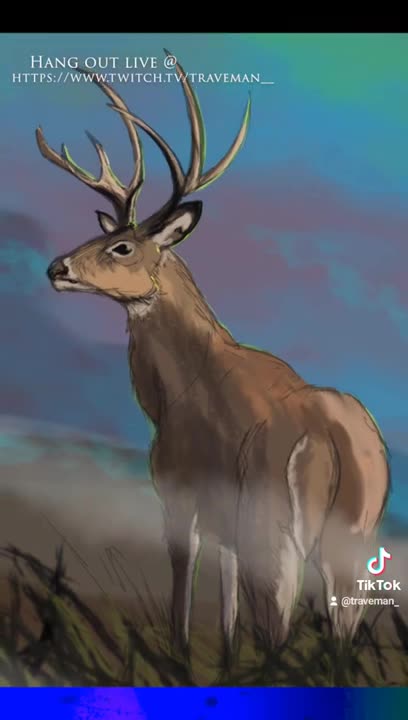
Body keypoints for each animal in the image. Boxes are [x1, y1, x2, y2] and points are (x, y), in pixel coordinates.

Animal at [38, 53, 390, 670]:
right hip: (353, 535)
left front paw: (179, 658)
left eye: (122, 246)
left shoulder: (180, 493)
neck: (169, 394)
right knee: (340, 626)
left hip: (273, 524)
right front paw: (222, 662)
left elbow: (185, 580)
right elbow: (225, 609)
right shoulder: (226, 525)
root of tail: (328, 440)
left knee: (277, 618)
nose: (58, 267)